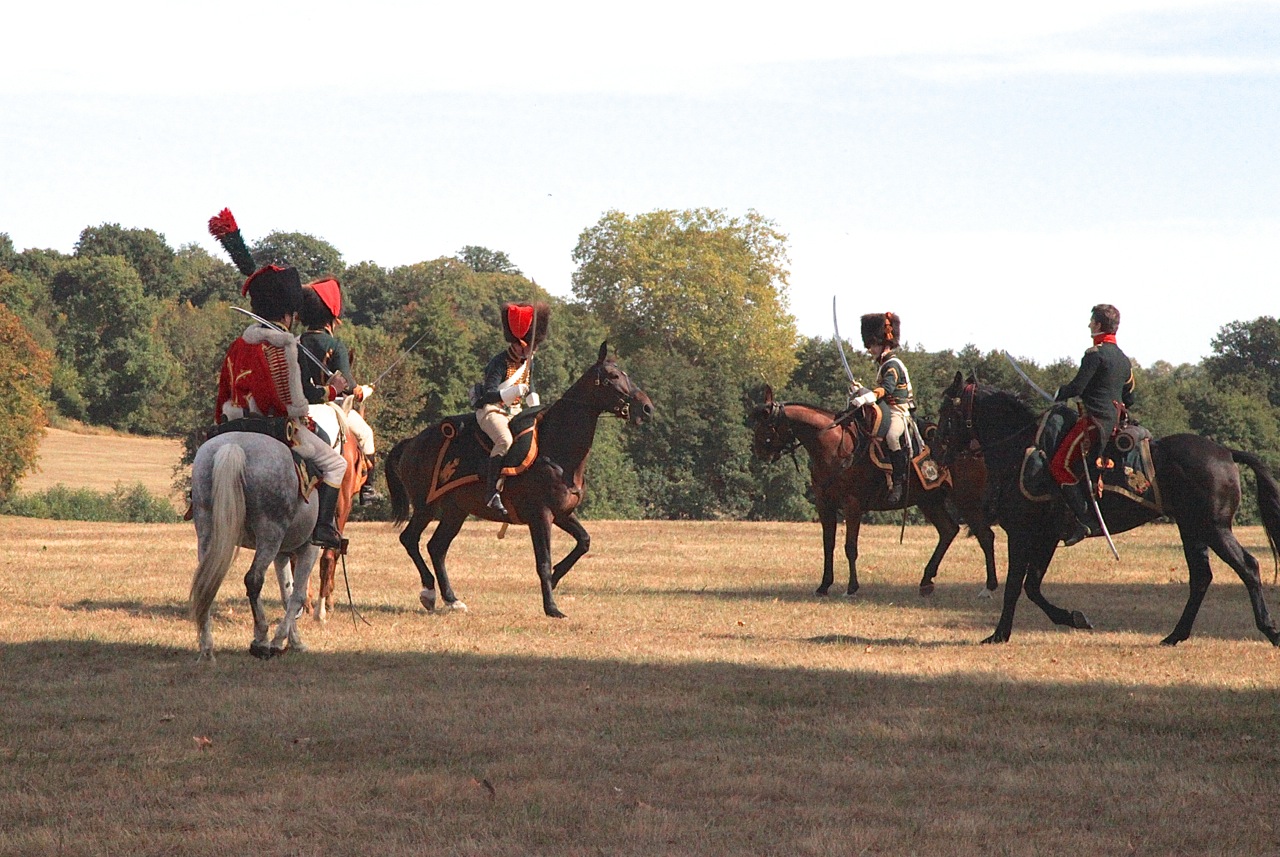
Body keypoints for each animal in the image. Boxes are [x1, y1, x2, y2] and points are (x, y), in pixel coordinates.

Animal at [188, 432, 320, 660]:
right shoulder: (309, 549)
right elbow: (297, 595)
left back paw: (207, 648)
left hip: (206, 531)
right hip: (269, 535)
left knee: (205, 582)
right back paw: (261, 639)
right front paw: (279, 640)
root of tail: (232, 446)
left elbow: (287, 594)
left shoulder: (282, 553)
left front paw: (294, 641)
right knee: (253, 579)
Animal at [384, 342, 655, 619]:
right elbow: (543, 561)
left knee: (436, 548)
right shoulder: (541, 515)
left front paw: (557, 577)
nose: (646, 407)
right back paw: (429, 592)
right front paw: (552, 607)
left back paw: (452, 599)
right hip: (426, 507)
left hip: (455, 512)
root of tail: (412, 442)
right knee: (410, 539)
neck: (557, 450)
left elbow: (584, 542)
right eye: (613, 376)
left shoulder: (562, 514)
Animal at [747, 388, 998, 598]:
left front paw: (851, 588)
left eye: (767, 423)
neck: (835, 446)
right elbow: (828, 544)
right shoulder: (825, 505)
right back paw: (926, 580)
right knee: (948, 530)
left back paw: (989, 587)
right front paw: (824, 585)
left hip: (967, 501)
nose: (759, 451)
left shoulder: (852, 506)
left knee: (985, 536)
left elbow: (850, 547)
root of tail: (975, 448)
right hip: (929, 501)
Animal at [931, 373, 1280, 647]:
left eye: (946, 410)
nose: (935, 455)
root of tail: (1226, 452)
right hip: (1192, 529)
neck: (1019, 450)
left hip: (1213, 528)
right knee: (1201, 578)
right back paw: (1175, 636)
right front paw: (1073, 618)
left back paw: (1269, 630)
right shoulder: (1045, 537)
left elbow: (1017, 586)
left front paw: (1000, 633)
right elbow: (1031, 586)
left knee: (1247, 568)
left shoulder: (1023, 534)